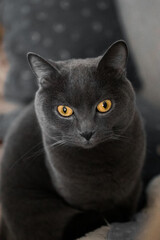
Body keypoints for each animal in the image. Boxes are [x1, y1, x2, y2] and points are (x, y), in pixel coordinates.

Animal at [0, 40, 145, 239]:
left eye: (104, 105)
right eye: (64, 110)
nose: (86, 132)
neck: (100, 162)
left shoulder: (133, 187)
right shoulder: (77, 198)